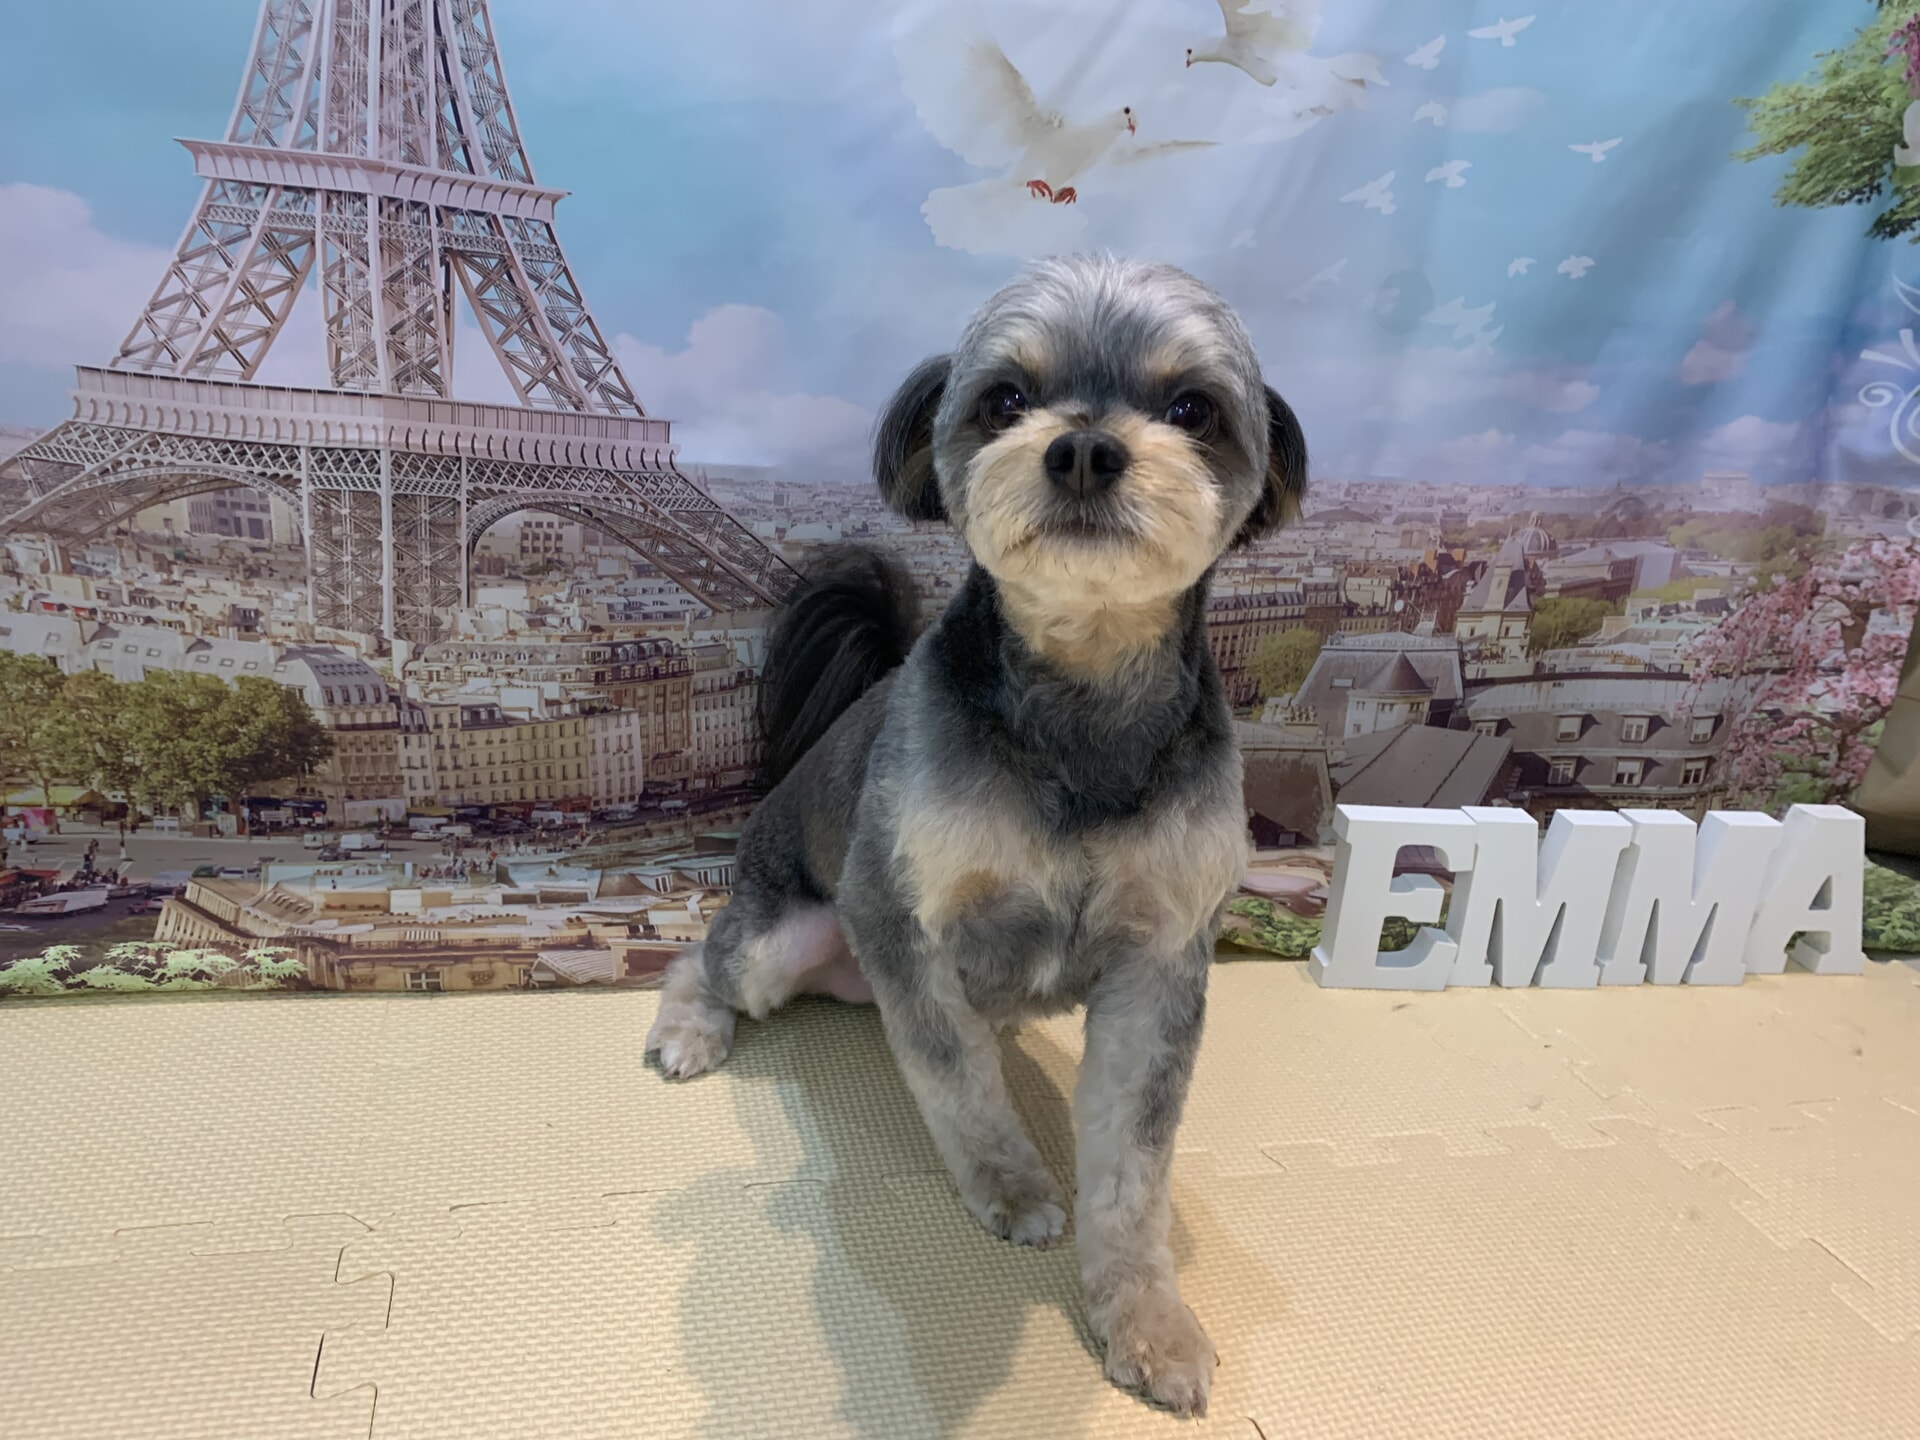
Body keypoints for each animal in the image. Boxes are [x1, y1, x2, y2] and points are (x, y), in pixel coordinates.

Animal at [645, 254, 1306, 1416]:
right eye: (1004, 399)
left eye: (1193, 409)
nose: (1081, 447)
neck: (1081, 698)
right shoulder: (898, 914)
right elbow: (958, 1083)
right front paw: (1011, 1188)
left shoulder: (1161, 961)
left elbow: (1133, 1169)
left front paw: (1149, 1322)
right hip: (784, 934)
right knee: (701, 959)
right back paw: (691, 1031)